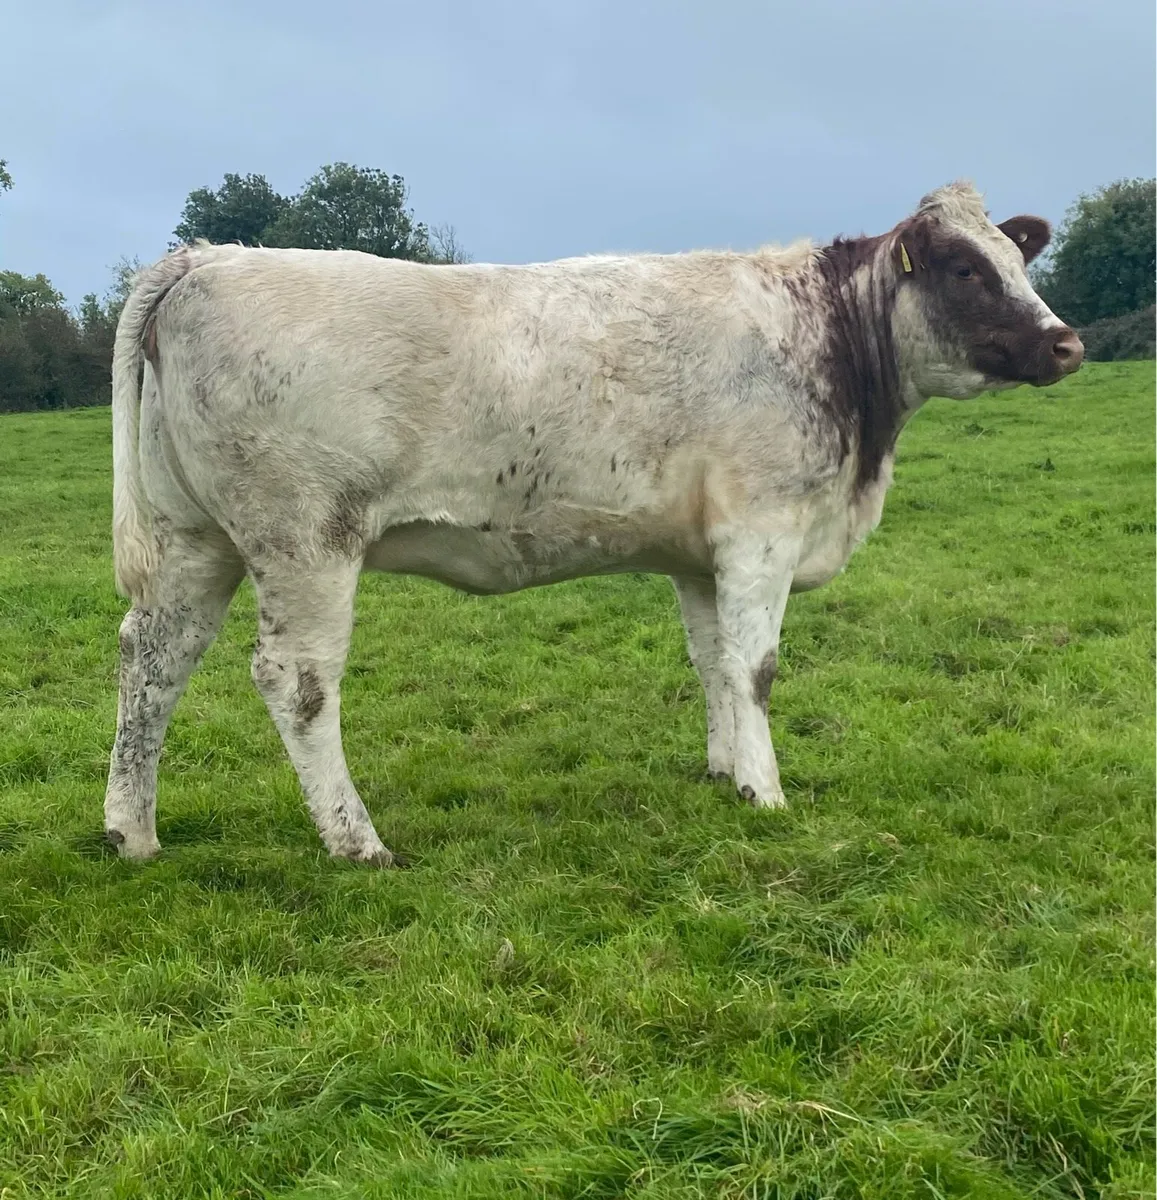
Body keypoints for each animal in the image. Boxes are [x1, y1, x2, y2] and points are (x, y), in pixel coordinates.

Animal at [103, 181, 1083, 865]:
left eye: (1017, 258)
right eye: (965, 269)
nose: (1065, 343)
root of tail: (207, 257)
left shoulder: (699, 554)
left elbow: (713, 665)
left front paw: (724, 774)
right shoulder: (762, 531)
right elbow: (757, 669)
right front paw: (766, 793)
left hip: (195, 537)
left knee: (152, 661)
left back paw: (131, 833)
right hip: (306, 538)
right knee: (296, 680)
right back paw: (356, 841)